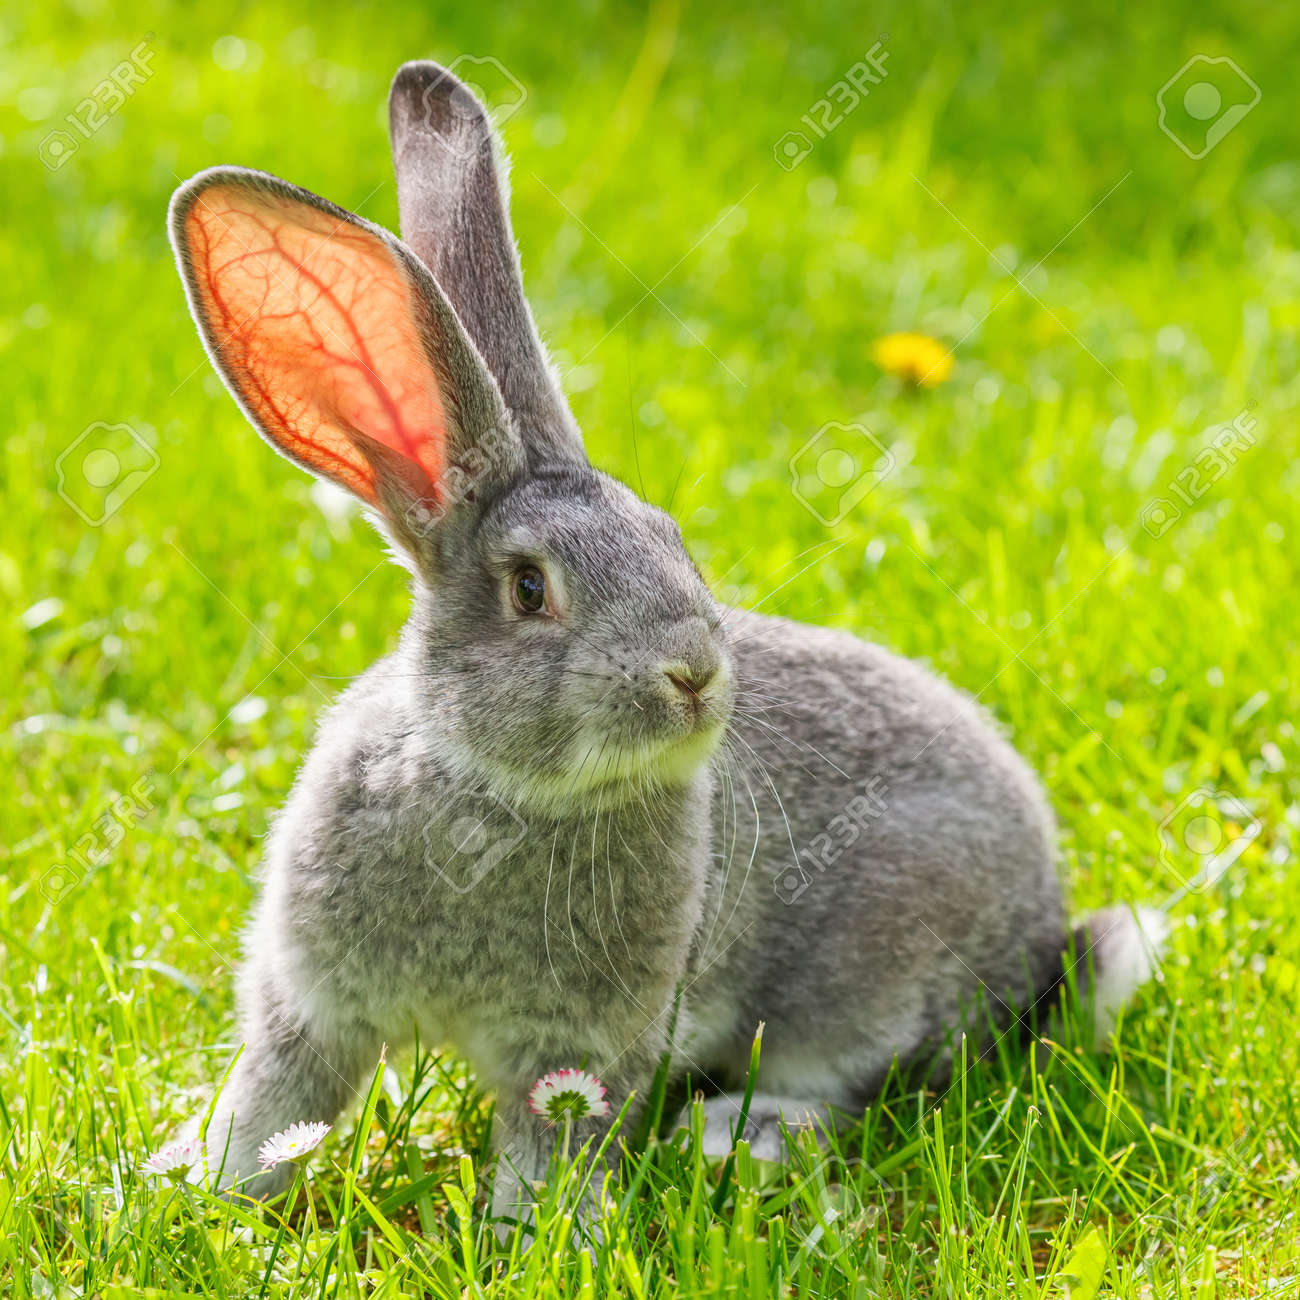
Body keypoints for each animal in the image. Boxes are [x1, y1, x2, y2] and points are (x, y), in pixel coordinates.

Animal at [166, 61, 1166, 1210]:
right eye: (528, 589)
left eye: (673, 542)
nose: (693, 674)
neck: (495, 788)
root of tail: (1044, 931)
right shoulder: (310, 1010)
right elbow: (275, 1105)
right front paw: (187, 1188)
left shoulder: (582, 1049)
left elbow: (553, 1148)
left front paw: (539, 1233)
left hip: (869, 979)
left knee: (844, 1083)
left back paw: (737, 1137)